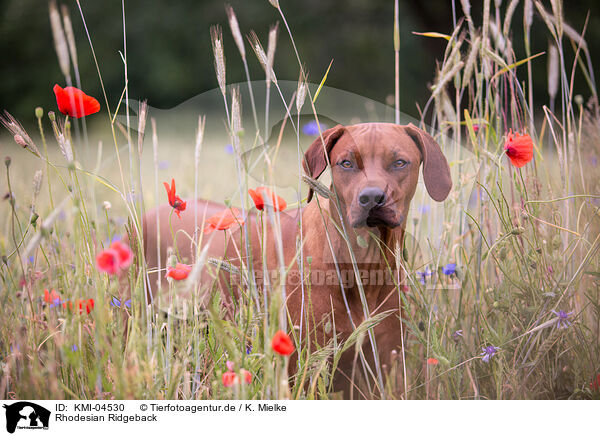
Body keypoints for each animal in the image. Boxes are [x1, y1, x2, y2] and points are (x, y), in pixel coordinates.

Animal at [136, 122, 450, 398]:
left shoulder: (382, 370)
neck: (361, 266)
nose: (372, 198)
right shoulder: (305, 366)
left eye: (400, 162)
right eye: (346, 163)